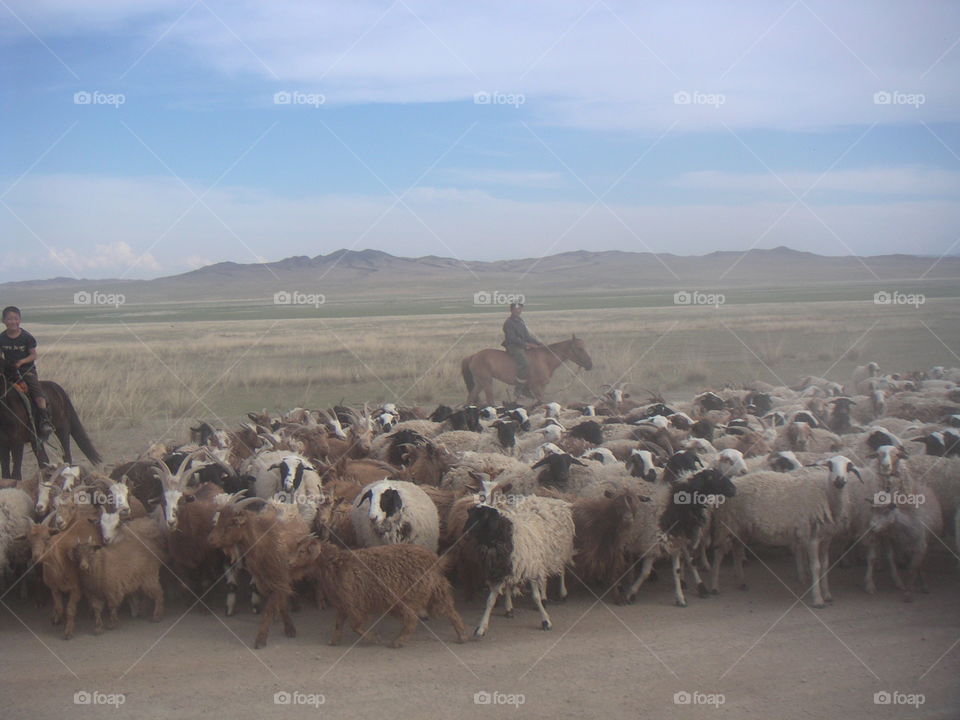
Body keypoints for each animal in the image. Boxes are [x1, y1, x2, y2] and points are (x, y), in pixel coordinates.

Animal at [288, 537, 467, 648]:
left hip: (407, 599)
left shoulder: (355, 605)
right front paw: (333, 641)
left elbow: (355, 625)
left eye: (302, 551)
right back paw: (462, 636)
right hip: (436, 592)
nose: (289, 563)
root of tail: (436, 560)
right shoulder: (343, 604)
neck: (337, 564)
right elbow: (338, 624)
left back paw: (398, 642)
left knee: (412, 620)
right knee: (450, 611)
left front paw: (374, 638)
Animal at [469, 492, 575, 636]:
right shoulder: (503, 568)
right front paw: (482, 627)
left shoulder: (530, 567)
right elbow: (491, 600)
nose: (466, 534)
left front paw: (546, 621)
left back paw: (562, 593)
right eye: (471, 514)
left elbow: (535, 597)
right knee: (544, 577)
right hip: (542, 557)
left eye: (484, 516)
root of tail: (545, 498)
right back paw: (544, 598)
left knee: (561, 569)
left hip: (560, 550)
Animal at [709, 456, 862, 607]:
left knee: (736, 550)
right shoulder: (812, 537)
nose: (839, 481)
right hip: (727, 522)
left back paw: (741, 582)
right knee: (719, 553)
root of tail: (734, 481)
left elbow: (825, 565)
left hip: (742, 526)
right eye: (830, 465)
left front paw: (827, 595)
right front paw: (818, 599)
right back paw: (715, 586)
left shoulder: (826, 537)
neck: (826, 496)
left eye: (849, 467)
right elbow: (816, 567)